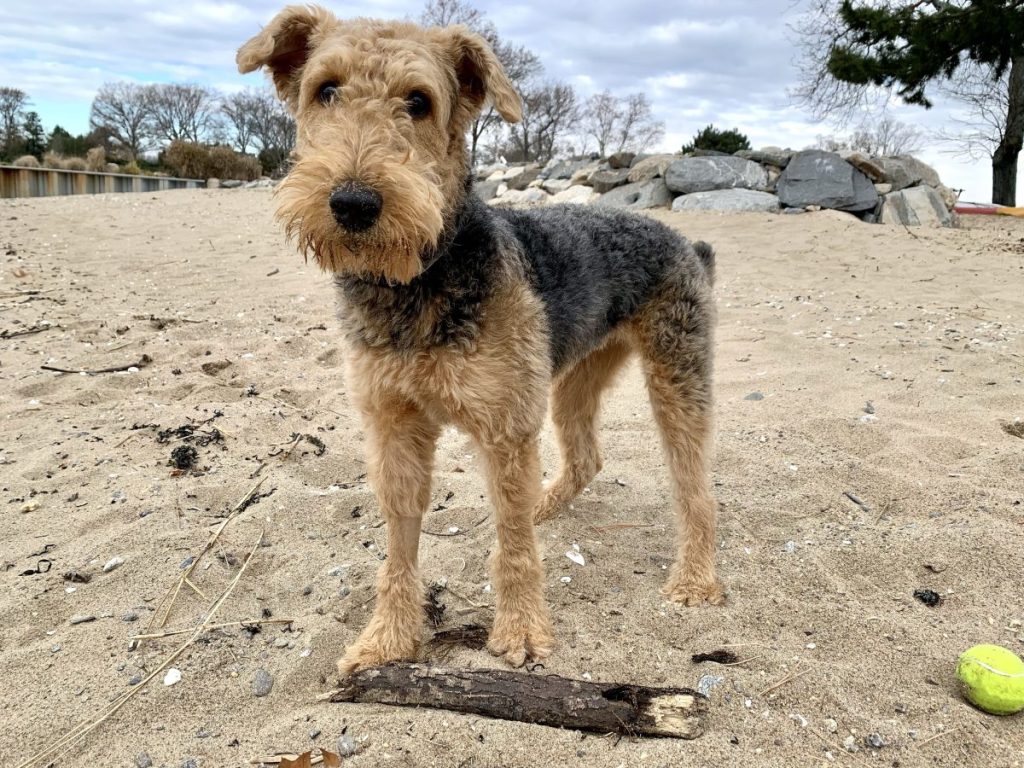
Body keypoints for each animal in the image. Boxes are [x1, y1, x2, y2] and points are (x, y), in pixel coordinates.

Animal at [236, 7, 724, 679]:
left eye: (419, 101)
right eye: (325, 90)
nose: (354, 203)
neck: (421, 281)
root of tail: (688, 244)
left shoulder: (504, 425)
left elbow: (513, 551)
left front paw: (519, 633)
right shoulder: (394, 424)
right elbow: (400, 546)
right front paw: (387, 639)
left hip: (676, 375)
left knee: (695, 487)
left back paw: (695, 580)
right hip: (575, 375)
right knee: (583, 459)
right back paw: (546, 504)